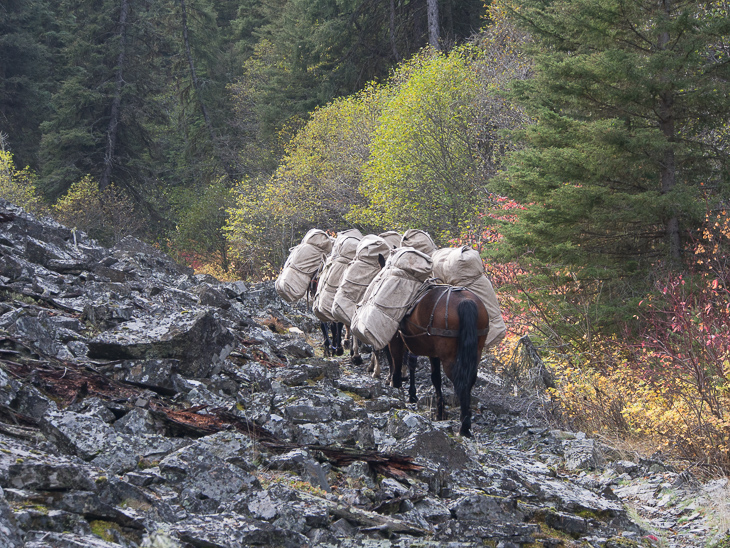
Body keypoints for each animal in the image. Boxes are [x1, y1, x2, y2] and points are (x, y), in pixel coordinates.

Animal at [386, 284, 490, 438]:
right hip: (475, 351)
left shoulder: (396, 338)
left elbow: (398, 366)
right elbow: (435, 379)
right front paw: (439, 413)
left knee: (461, 383)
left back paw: (464, 427)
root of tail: (465, 302)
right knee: (470, 379)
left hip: (449, 358)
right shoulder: (433, 353)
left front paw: (398, 392)